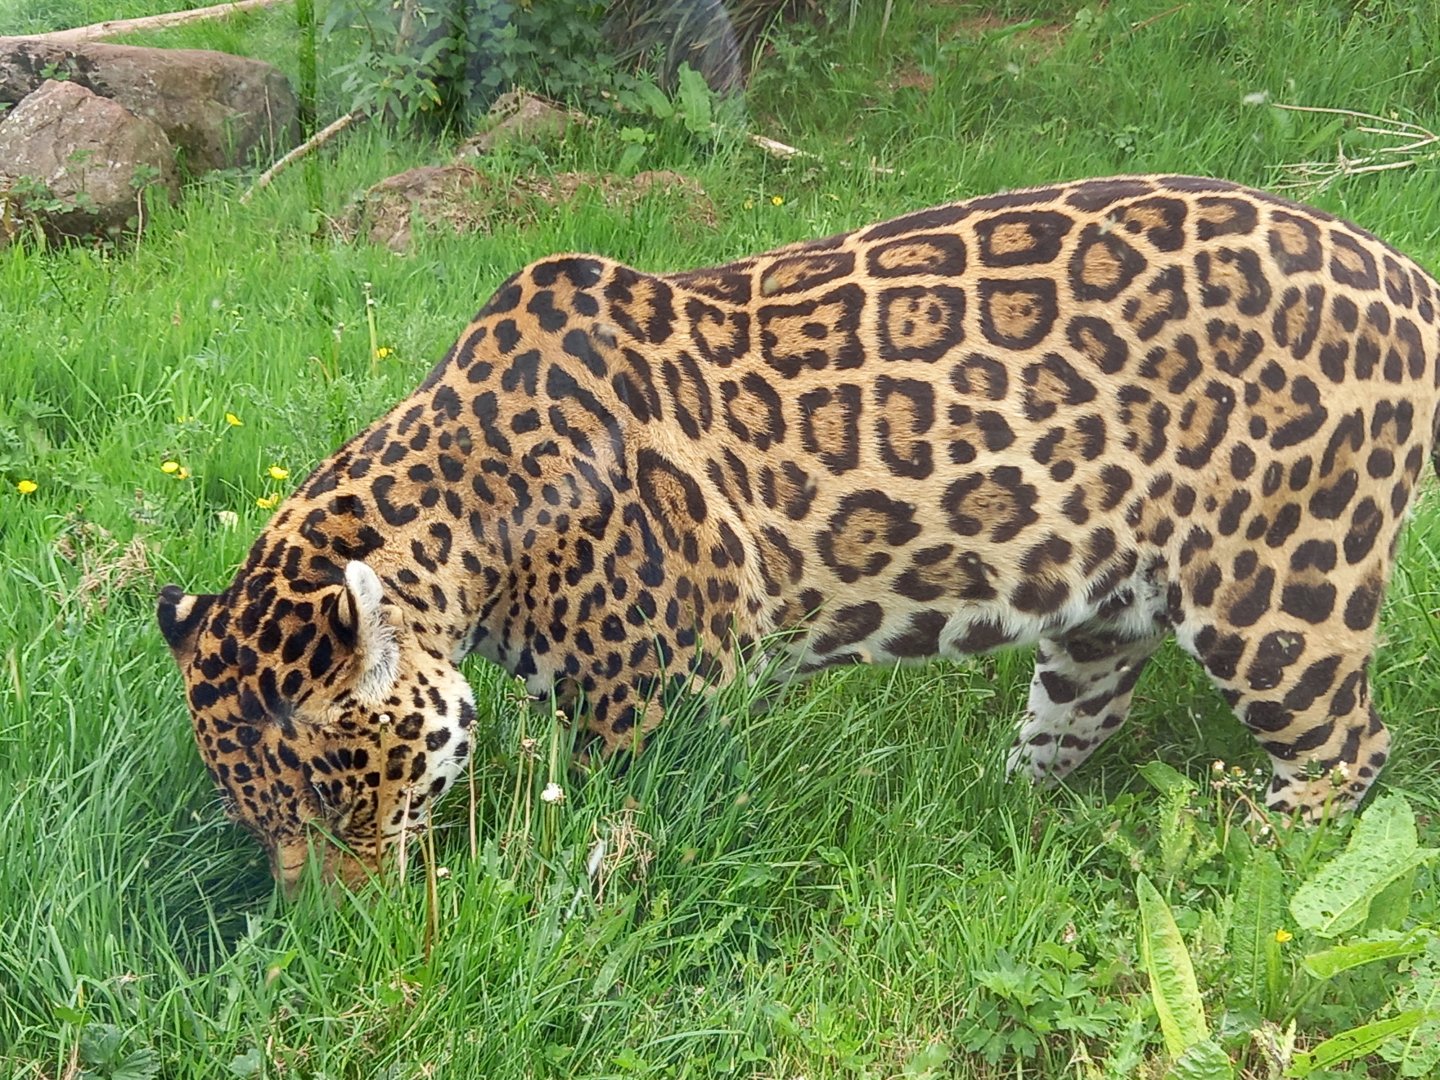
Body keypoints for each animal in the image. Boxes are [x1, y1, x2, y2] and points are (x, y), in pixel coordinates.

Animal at [158, 174, 1440, 892]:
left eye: (338, 802)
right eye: (259, 820)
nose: (334, 921)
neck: (472, 511)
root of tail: (1409, 275)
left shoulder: (655, 708)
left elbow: (618, 831)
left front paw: (552, 889)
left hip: (1282, 592)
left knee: (1348, 751)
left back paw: (1254, 853)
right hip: (1102, 604)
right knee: (1078, 714)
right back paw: (985, 817)